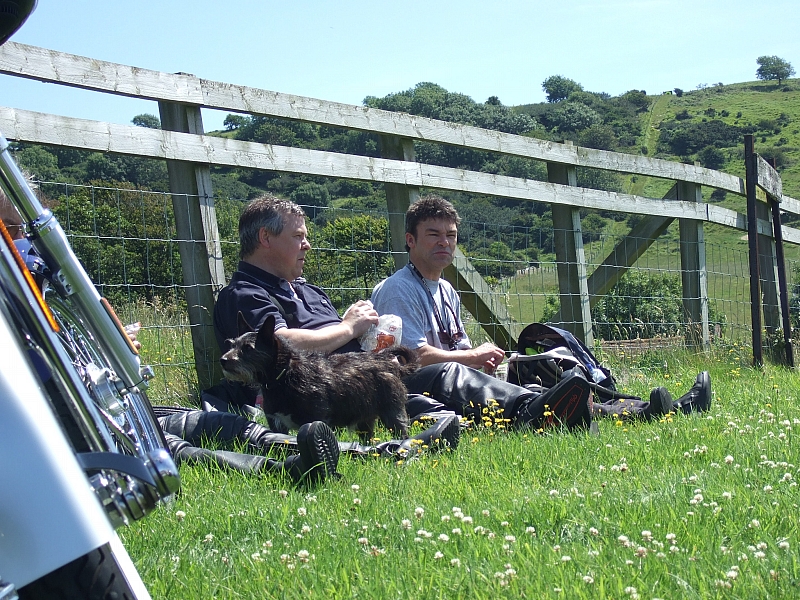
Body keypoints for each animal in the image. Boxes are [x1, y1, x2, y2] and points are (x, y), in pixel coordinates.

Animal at [220, 314, 418, 440]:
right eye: (232, 344)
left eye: (248, 348)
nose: (223, 360)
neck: (284, 377)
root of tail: (386, 361)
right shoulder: (276, 425)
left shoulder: (315, 419)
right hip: (365, 420)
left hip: (393, 414)